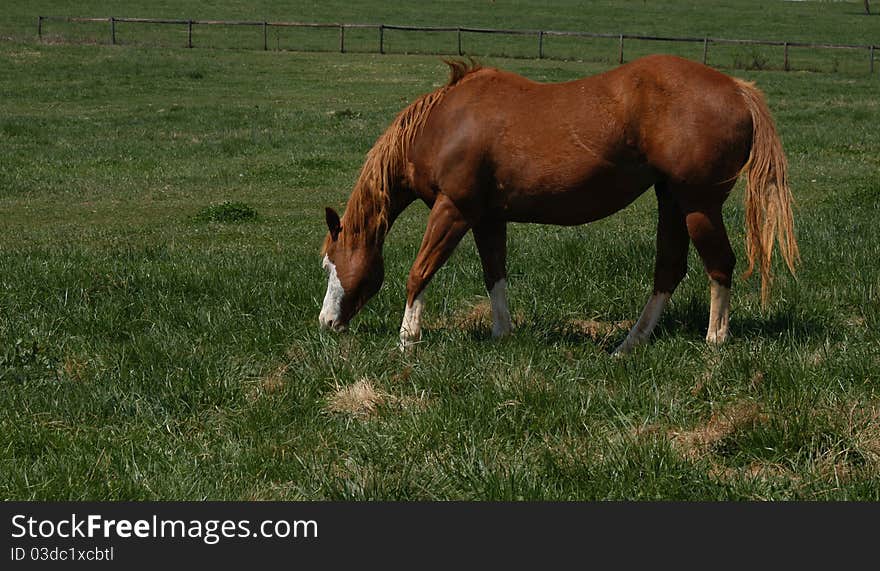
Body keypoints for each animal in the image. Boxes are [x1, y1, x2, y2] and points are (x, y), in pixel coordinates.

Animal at [320, 57, 800, 354]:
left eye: (329, 263)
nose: (325, 323)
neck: (444, 123)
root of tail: (737, 89)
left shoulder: (452, 210)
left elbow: (420, 271)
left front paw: (407, 340)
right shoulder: (488, 218)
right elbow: (494, 275)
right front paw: (502, 334)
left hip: (699, 205)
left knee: (719, 264)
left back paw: (714, 341)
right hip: (672, 200)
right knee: (670, 268)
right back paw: (629, 344)